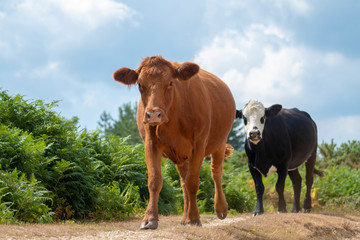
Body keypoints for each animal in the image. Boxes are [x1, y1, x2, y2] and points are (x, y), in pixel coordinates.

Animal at [113, 55, 236, 229]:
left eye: (171, 82)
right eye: (139, 84)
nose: (154, 114)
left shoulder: (199, 145)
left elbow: (193, 182)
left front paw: (194, 218)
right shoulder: (151, 144)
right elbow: (155, 180)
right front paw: (150, 218)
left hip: (220, 142)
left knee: (216, 172)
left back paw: (220, 208)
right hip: (181, 155)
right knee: (183, 181)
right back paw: (184, 217)